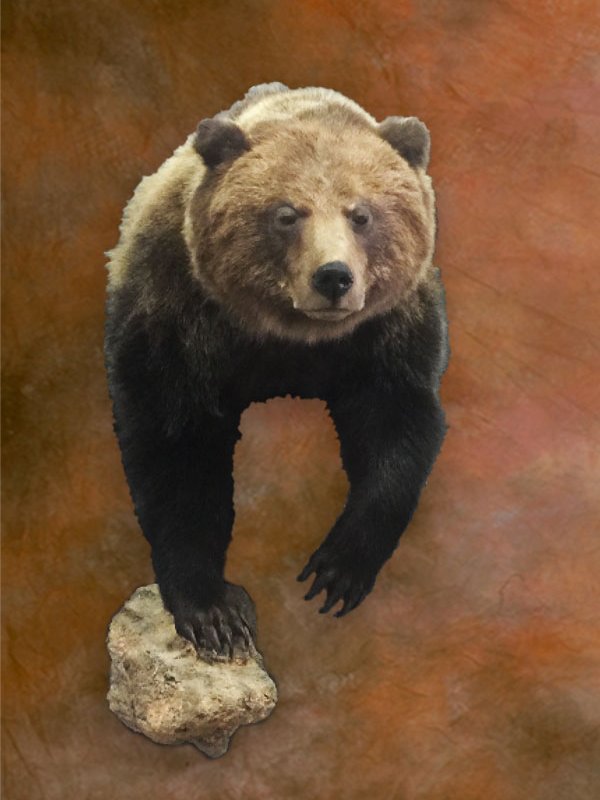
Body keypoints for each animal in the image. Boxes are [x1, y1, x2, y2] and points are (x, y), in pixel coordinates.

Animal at [104, 82, 449, 659]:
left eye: (361, 214)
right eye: (287, 214)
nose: (333, 276)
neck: (290, 338)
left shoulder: (386, 333)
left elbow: (396, 430)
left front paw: (336, 571)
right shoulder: (177, 316)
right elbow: (177, 450)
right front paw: (213, 612)